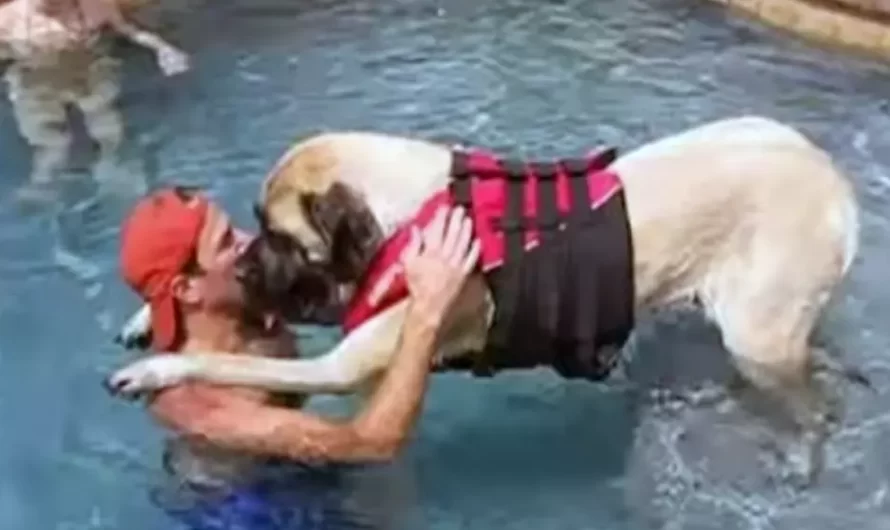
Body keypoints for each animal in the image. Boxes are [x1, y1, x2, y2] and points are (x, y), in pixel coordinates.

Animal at [106, 115, 860, 482]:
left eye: (281, 238)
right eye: (253, 228)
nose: (245, 264)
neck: (413, 208)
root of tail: (836, 182)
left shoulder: (341, 362)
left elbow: (234, 362)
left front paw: (157, 368)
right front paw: (148, 317)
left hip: (759, 334)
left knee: (815, 398)